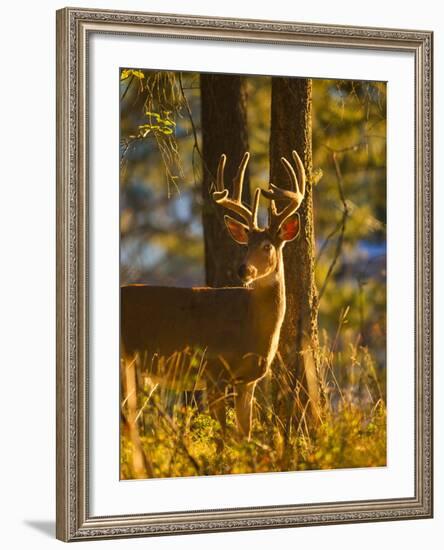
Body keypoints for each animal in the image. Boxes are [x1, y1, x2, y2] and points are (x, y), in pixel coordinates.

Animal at [121, 149, 306, 442]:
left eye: (267, 246)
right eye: (246, 245)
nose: (244, 269)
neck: (252, 328)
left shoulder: (247, 381)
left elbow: (244, 433)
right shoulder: (214, 371)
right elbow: (222, 435)